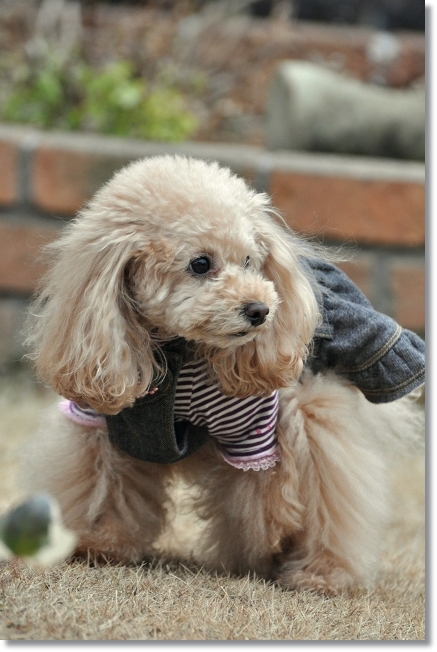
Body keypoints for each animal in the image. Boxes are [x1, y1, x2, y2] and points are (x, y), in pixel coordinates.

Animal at [21, 155, 425, 595]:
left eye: (249, 261)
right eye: (200, 264)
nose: (260, 310)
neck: (182, 349)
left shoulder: (253, 425)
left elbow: (271, 491)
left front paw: (270, 548)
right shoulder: (101, 417)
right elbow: (102, 481)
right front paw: (100, 542)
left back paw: (321, 572)